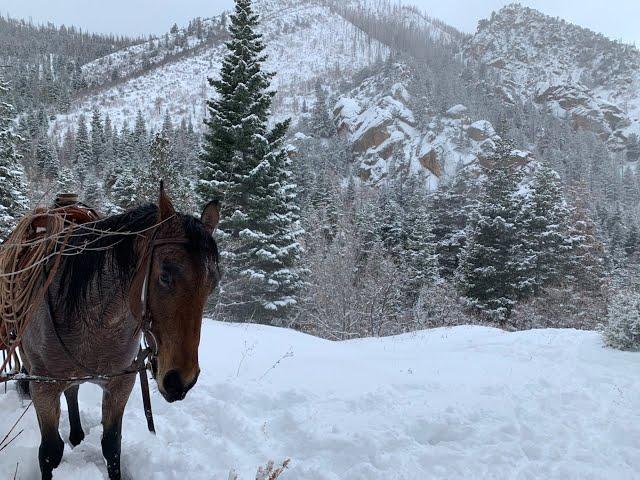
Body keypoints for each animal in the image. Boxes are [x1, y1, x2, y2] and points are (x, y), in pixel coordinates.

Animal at [16, 186, 221, 480]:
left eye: (212, 284)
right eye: (165, 275)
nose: (180, 380)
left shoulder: (121, 383)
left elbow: (112, 445)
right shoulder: (43, 386)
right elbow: (50, 451)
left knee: (73, 390)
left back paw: (77, 435)